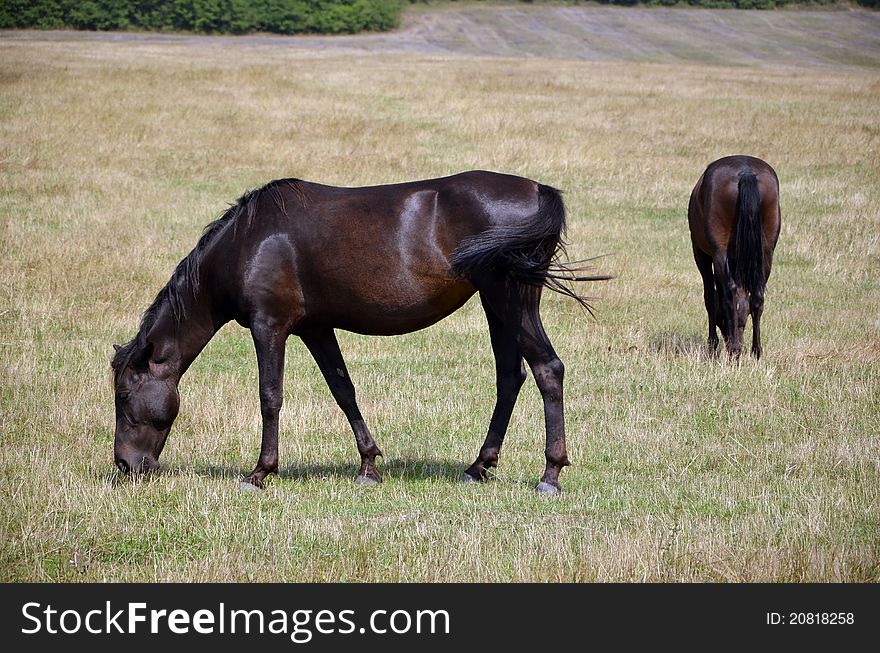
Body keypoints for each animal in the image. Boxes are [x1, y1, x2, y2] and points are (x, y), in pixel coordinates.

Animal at [110, 171, 608, 492]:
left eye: (122, 395)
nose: (125, 465)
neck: (249, 241)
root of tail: (538, 190)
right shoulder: (316, 328)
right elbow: (343, 390)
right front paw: (368, 465)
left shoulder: (269, 327)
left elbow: (270, 397)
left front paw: (261, 472)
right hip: (498, 305)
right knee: (511, 376)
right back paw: (479, 467)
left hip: (509, 300)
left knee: (547, 370)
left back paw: (550, 474)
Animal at [692, 156, 780, 360]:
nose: (731, 337)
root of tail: (745, 172)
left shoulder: (700, 253)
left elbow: (710, 297)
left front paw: (712, 345)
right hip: (766, 253)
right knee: (757, 296)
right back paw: (755, 351)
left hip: (718, 252)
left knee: (730, 291)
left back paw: (734, 350)